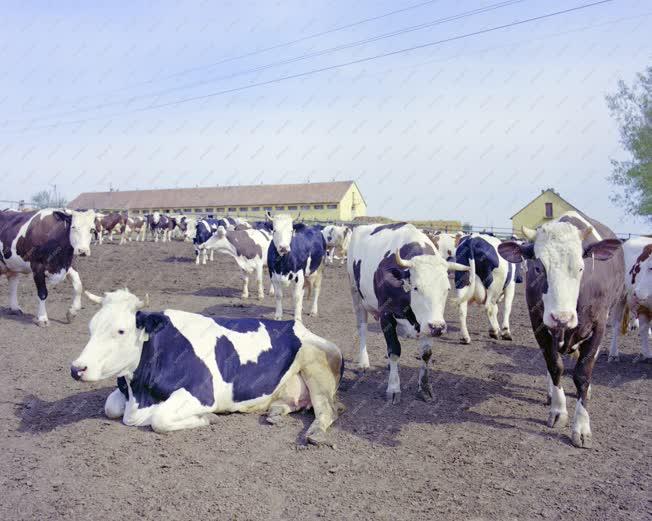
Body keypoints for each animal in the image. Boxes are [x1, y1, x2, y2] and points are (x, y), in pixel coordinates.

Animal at [70, 288, 346, 442]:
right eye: (91, 327)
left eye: (121, 330)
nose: (77, 368)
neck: (140, 393)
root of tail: (299, 327)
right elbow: (110, 407)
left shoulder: (203, 392)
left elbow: (160, 419)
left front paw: (207, 419)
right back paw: (275, 413)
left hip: (315, 364)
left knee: (327, 411)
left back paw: (315, 434)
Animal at [346, 221, 468, 404]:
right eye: (416, 288)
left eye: (447, 289)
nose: (438, 327)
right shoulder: (386, 315)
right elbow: (394, 350)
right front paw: (393, 388)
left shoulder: (427, 323)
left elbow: (426, 354)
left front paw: (424, 389)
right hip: (356, 295)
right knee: (362, 329)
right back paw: (363, 362)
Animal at [500, 211, 628, 446]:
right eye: (538, 268)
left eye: (581, 267)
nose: (562, 317)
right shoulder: (538, 324)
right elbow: (555, 366)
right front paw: (558, 411)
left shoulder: (598, 326)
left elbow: (582, 374)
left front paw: (582, 426)